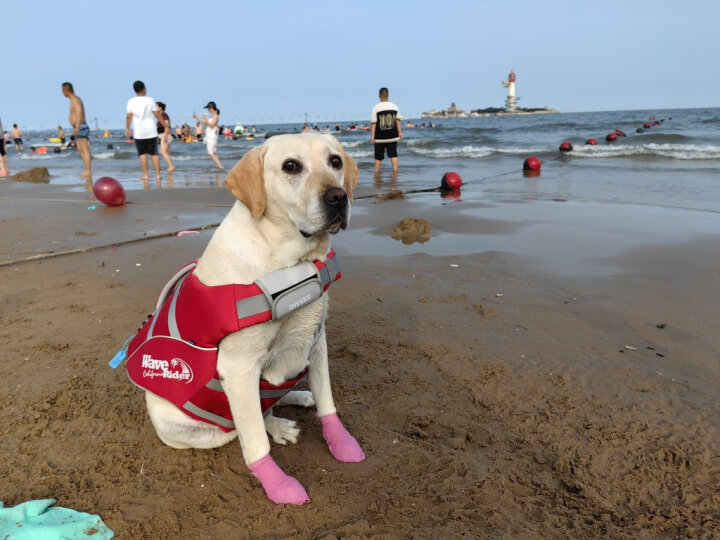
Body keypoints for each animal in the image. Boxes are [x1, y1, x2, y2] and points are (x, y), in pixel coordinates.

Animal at [143, 133, 366, 504]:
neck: (291, 264)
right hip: (197, 427)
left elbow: (327, 401)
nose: (338, 196)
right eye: (291, 166)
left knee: (271, 399)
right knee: (244, 424)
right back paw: (275, 425)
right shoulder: (238, 366)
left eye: (335, 161)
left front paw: (341, 442)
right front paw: (278, 484)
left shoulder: (316, 338)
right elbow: (255, 440)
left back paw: (296, 398)